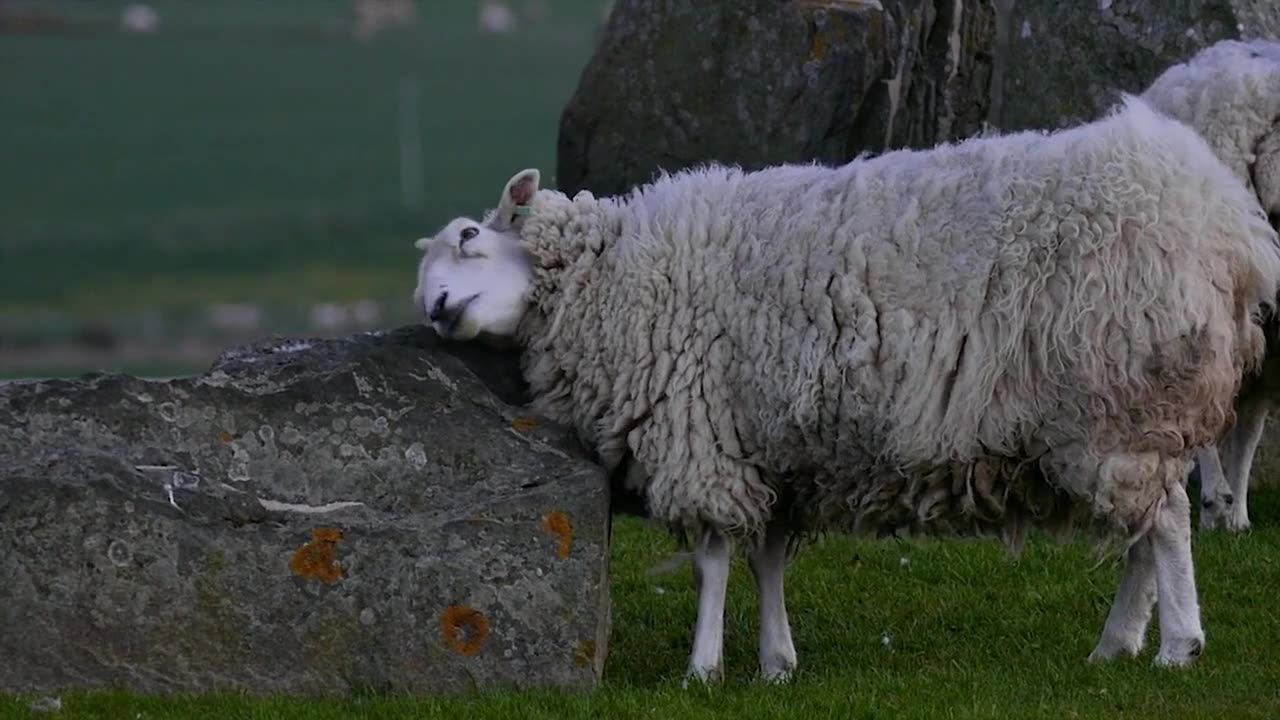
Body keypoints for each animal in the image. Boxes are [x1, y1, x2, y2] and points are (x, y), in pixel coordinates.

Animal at [409, 96, 1280, 681]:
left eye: (470, 237)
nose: (437, 307)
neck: (615, 272)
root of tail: (1225, 222)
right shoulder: (772, 449)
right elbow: (766, 560)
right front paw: (776, 660)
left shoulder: (702, 433)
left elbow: (713, 560)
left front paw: (702, 667)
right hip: (1126, 419)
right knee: (1144, 529)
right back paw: (1117, 644)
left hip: (1119, 403)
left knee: (1166, 524)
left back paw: (1175, 646)